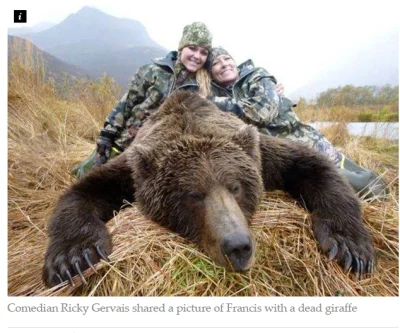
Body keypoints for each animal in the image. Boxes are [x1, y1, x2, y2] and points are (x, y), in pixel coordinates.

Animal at [43, 90, 376, 286]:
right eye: (193, 195)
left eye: (236, 187)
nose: (238, 246)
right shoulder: (130, 170)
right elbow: (82, 192)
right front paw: (74, 257)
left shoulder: (262, 154)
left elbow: (314, 165)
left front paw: (349, 247)